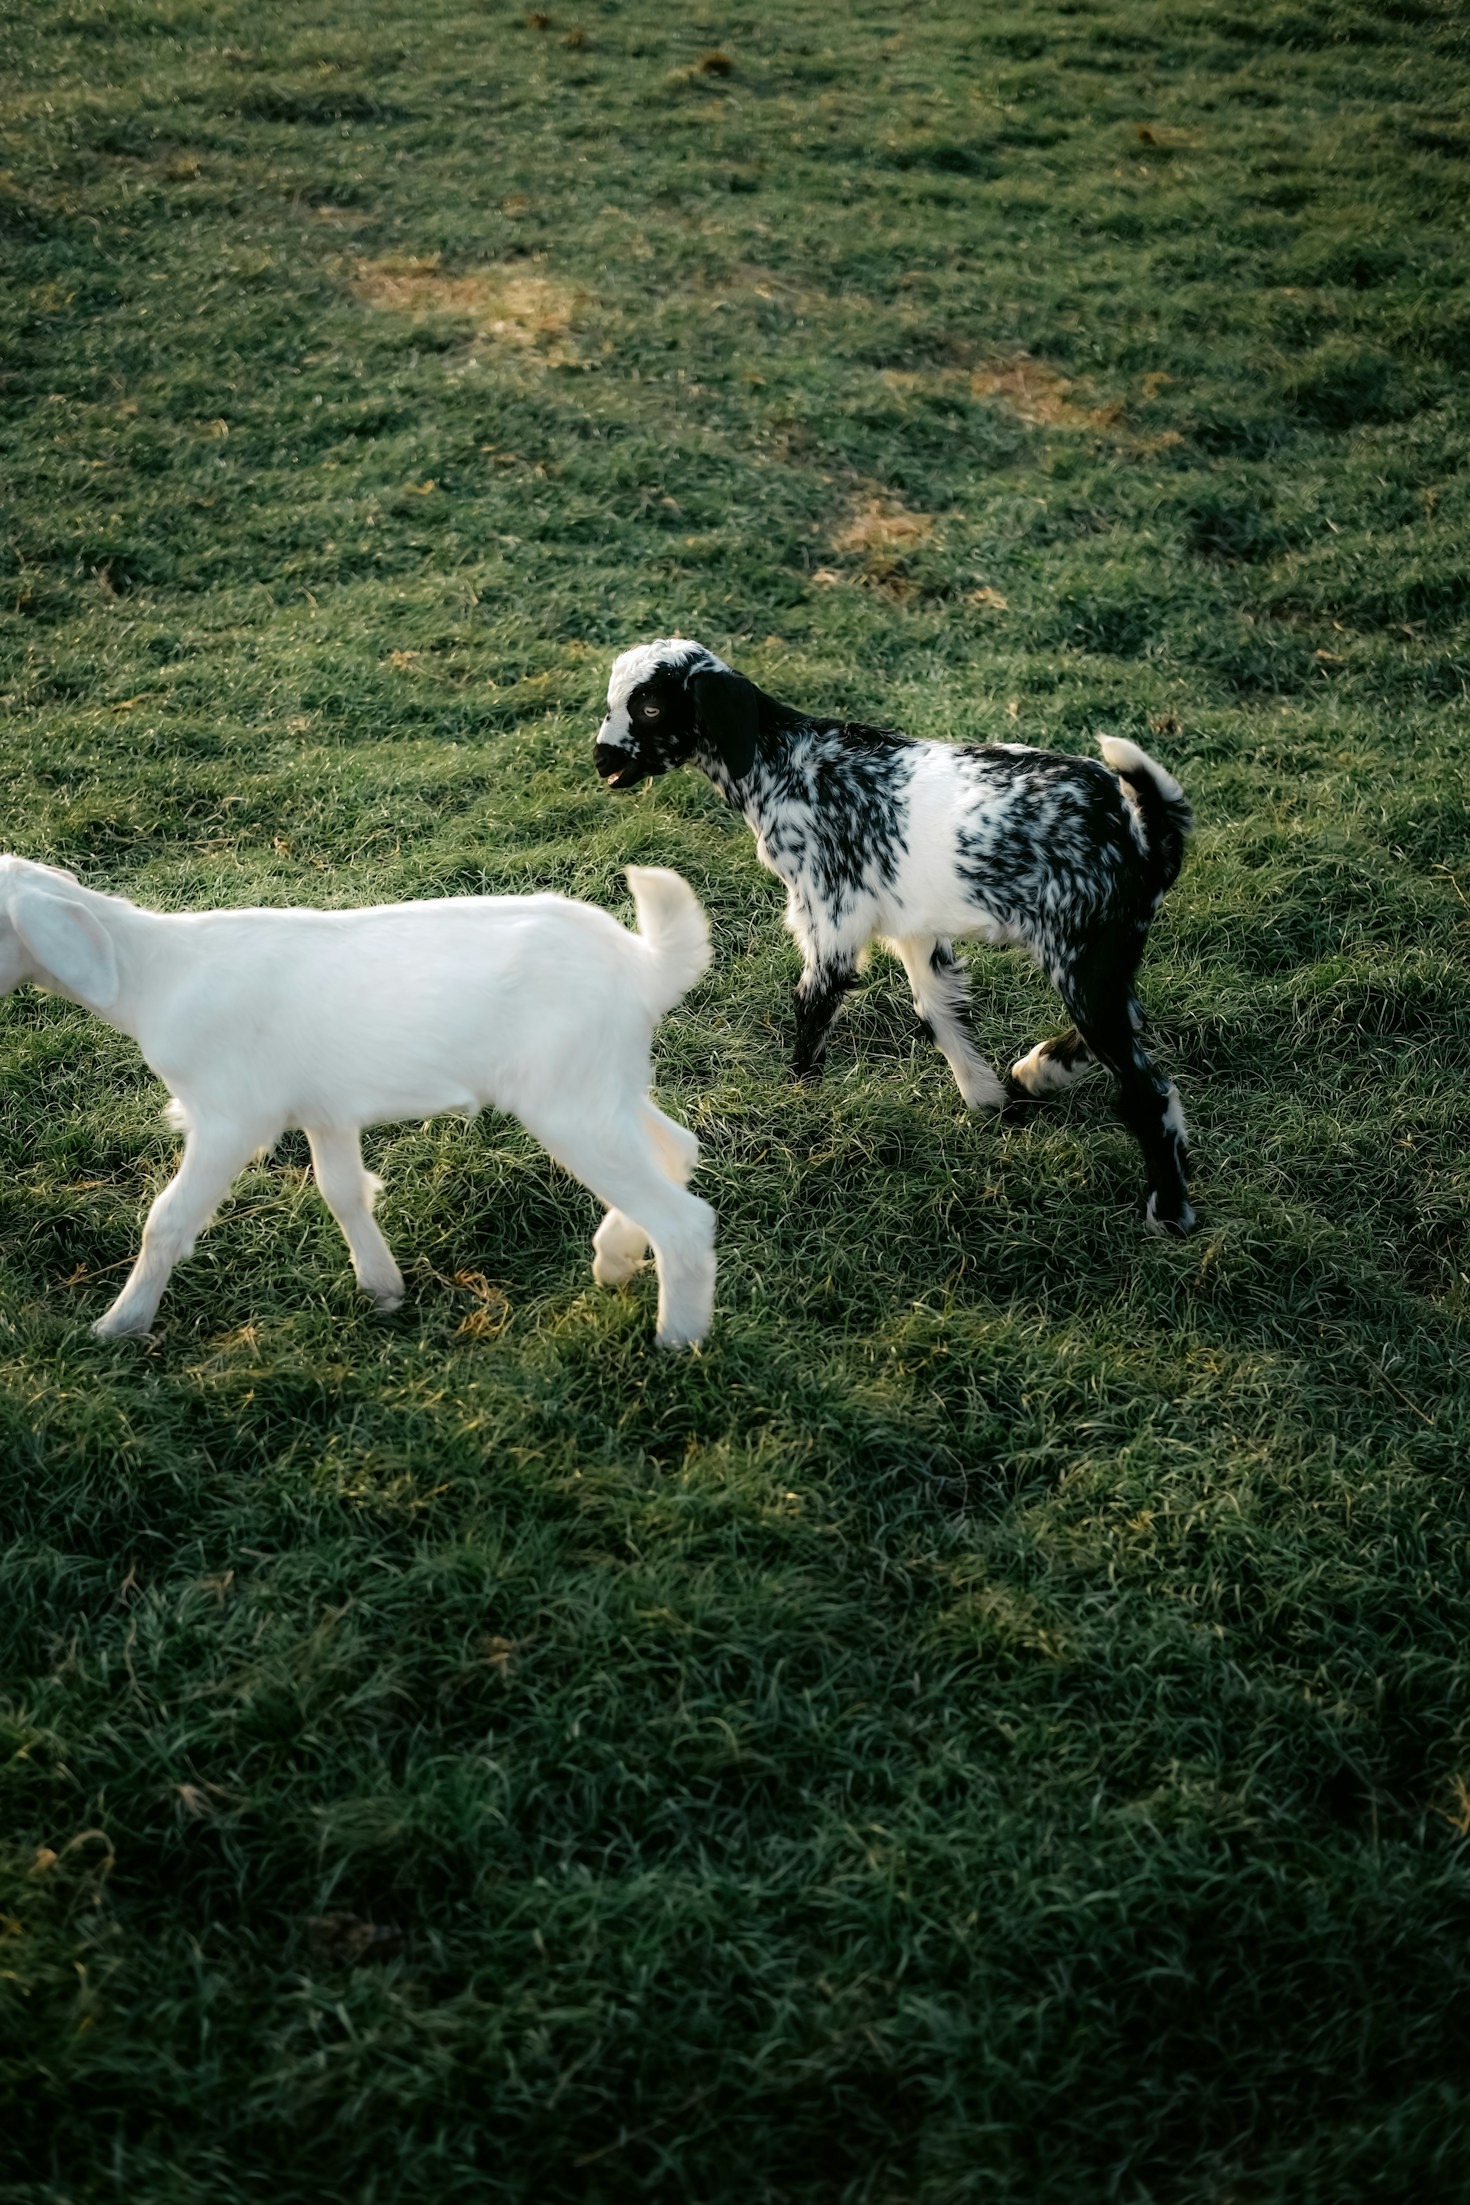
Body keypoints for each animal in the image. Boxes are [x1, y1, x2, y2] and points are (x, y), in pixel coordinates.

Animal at [0, 857, 716, 1343]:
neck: (152, 974)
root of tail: (645, 964)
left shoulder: (230, 1116)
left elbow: (168, 1220)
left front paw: (119, 1325)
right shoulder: (327, 1108)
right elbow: (342, 1189)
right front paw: (382, 1287)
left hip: (571, 1100)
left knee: (683, 1218)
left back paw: (677, 1341)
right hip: (601, 1081)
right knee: (677, 1148)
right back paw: (616, 1257)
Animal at [594, 639, 1195, 1234]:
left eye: (651, 708)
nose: (602, 758)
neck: (786, 763)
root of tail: (1143, 829)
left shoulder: (831, 916)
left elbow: (813, 1008)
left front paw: (798, 1105)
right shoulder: (914, 929)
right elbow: (941, 1011)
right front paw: (987, 1101)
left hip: (1082, 952)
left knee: (1146, 1089)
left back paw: (1170, 1211)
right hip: (1106, 951)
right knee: (1127, 1020)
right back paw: (1036, 1072)